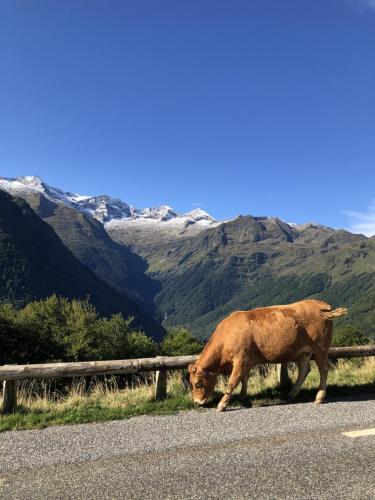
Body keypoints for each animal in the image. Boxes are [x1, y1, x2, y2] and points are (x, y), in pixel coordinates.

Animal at [189, 300, 348, 410]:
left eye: (197, 384)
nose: (197, 402)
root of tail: (321, 307)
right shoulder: (247, 360)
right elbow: (244, 378)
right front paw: (243, 398)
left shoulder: (241, 358)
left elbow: (233, 381)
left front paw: (222, 404)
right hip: (304, 352)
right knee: (304, 370)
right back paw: (291, 395)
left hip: (321, 347)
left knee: (323, 369)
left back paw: (319, 397)